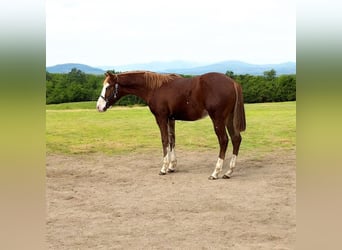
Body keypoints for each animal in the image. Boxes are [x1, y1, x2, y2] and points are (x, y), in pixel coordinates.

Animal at [96, 70, 246, 180]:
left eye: (107, 87)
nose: (99, 106)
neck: (154, 88)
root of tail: (233, 82)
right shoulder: (170, 119)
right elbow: (172, 139)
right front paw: (172, 167)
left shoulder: (161, 118)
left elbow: (164, 140)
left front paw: (163, 168)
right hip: (229, 118)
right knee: (236, 139)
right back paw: (229, 172)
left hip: (218, 119)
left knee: (224, 140)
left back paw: (216, 172)